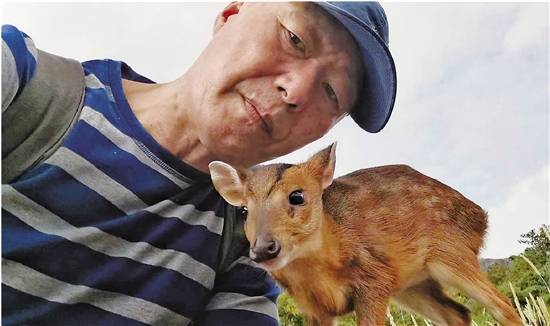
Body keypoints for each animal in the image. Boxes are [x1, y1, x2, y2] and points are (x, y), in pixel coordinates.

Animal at [209, 144, 524, 324]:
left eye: (297, 196)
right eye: (244, 210)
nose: (263, 248)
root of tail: (480, 216)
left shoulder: (373, 280)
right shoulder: (314, 307)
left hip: (452, 252)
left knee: (502, 306)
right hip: (414, 285)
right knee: (458, 313)